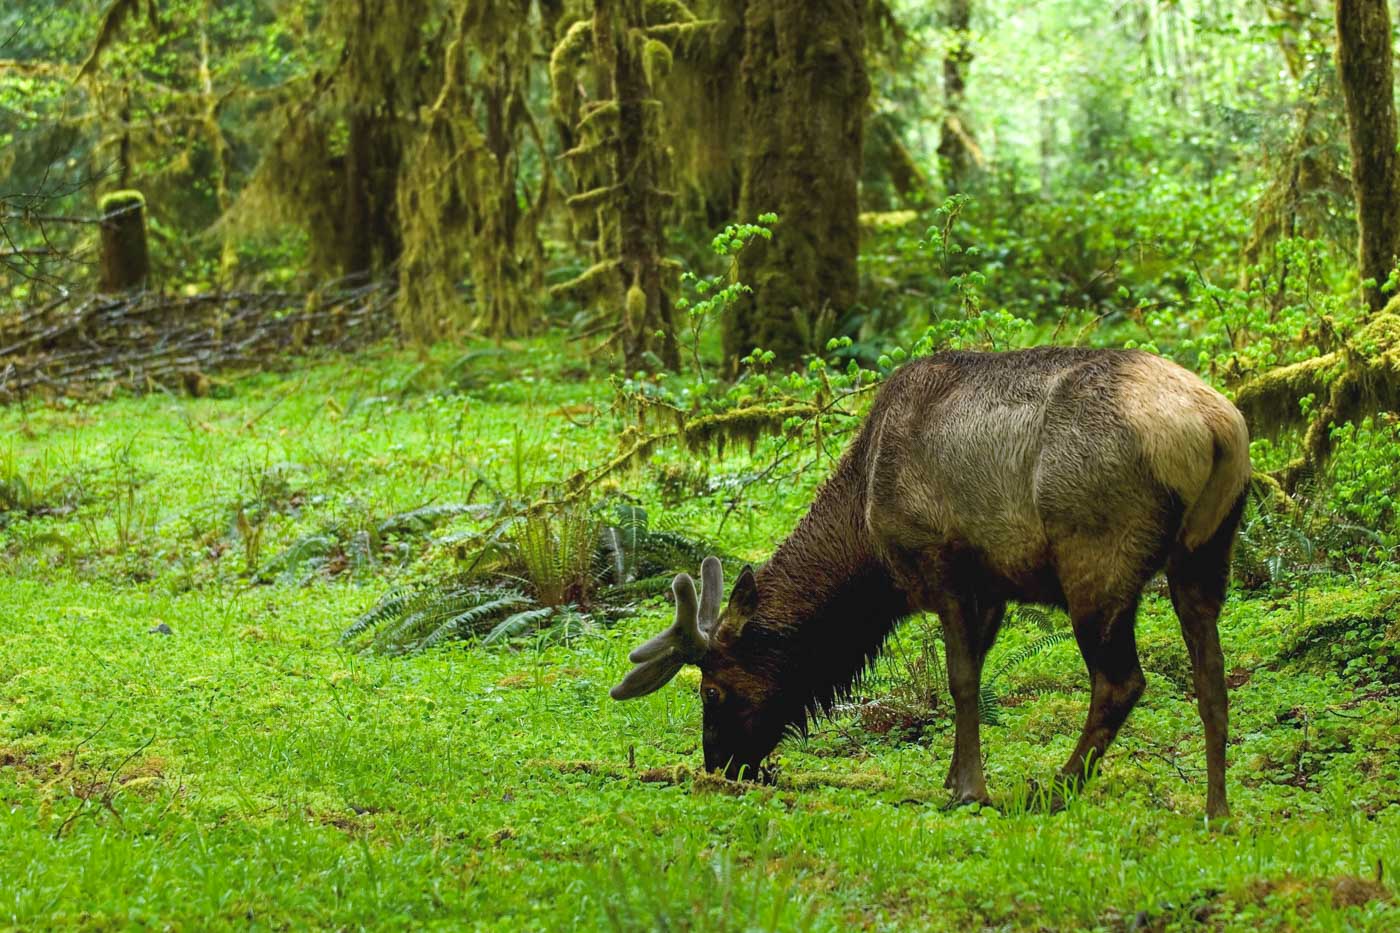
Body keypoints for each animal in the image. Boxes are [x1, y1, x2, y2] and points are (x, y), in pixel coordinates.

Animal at [607, 344, 1254, 812]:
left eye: (711, 690)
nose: (718, 766)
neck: (864, 540)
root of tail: (1219, 430)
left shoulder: (941, 562)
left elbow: (961, 681)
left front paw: (969, 789)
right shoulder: (992, 586)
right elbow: (977, 675)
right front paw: (952, 776)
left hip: (1097, 556)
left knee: (1121, 682)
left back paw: (1053, 789)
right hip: (1206, 554)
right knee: (1212, 680)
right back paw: (1216, 810)